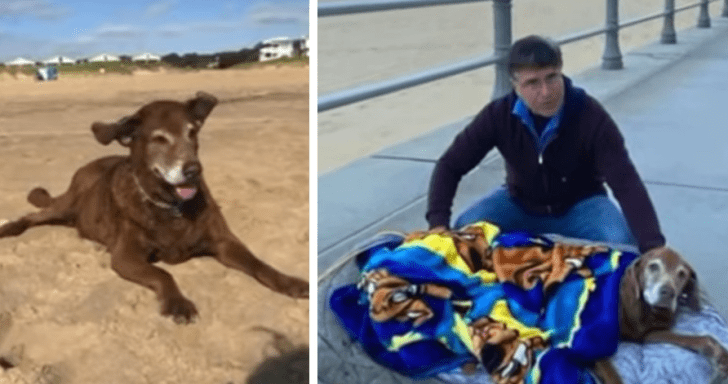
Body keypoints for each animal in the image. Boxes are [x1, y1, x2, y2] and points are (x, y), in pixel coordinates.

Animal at [0, 92, 308, 324]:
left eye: (192, 133)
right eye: (159, 138)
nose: (194, 170)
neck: (171, 206)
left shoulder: (224, 242)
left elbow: (259, 264)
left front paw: (289, 282)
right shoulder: (125, 256)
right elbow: (163, 273)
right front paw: (178, 303)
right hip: (65, 205)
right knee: (33, 216)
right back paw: (9, 227)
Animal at [596, 248, 728, 382]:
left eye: (682, 274)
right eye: (653, 266)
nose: (669, 293)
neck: (645, 309)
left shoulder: (650, 334)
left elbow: (703, 338)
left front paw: (721, 357)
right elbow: (612, 375)